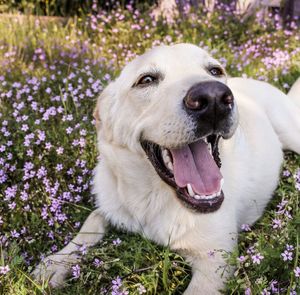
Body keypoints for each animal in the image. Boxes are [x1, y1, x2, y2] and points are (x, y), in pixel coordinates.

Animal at [32, 42, 300, 294]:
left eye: (215, 71)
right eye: (147, 80)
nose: (214, 97)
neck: (151, 199)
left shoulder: (215, 261)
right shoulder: (111, 204)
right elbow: (92, 220)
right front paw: (55, 262)